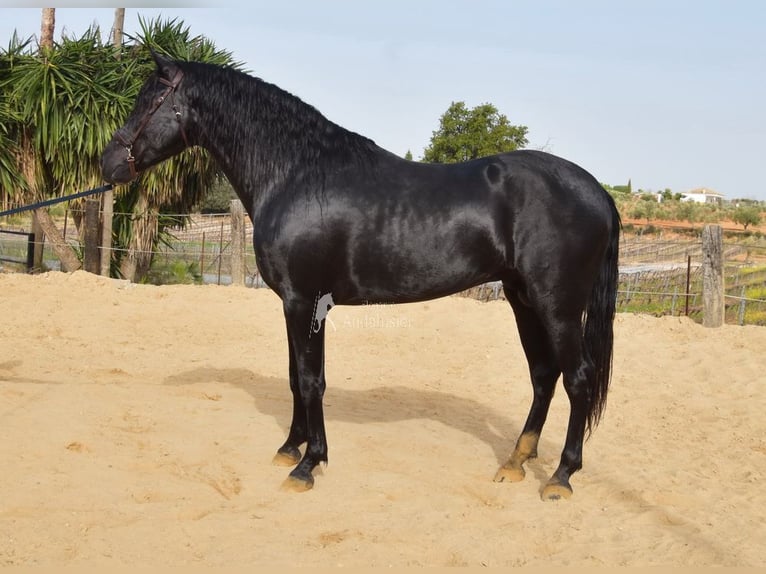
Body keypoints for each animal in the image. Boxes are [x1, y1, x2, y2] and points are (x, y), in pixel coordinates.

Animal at [101, 51, 621, 501]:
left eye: (150, 100)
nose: (108, 163)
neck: (297, 174)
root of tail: (596, 191)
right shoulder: (292, 302)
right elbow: (295, 376)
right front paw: (289, 447)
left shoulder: (305, 300)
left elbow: (312, 380)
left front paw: (308, 465)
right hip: (523, 298)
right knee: (543, 374)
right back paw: (515, 462)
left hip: (557, 305)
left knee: (577, 378)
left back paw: (560, 476)